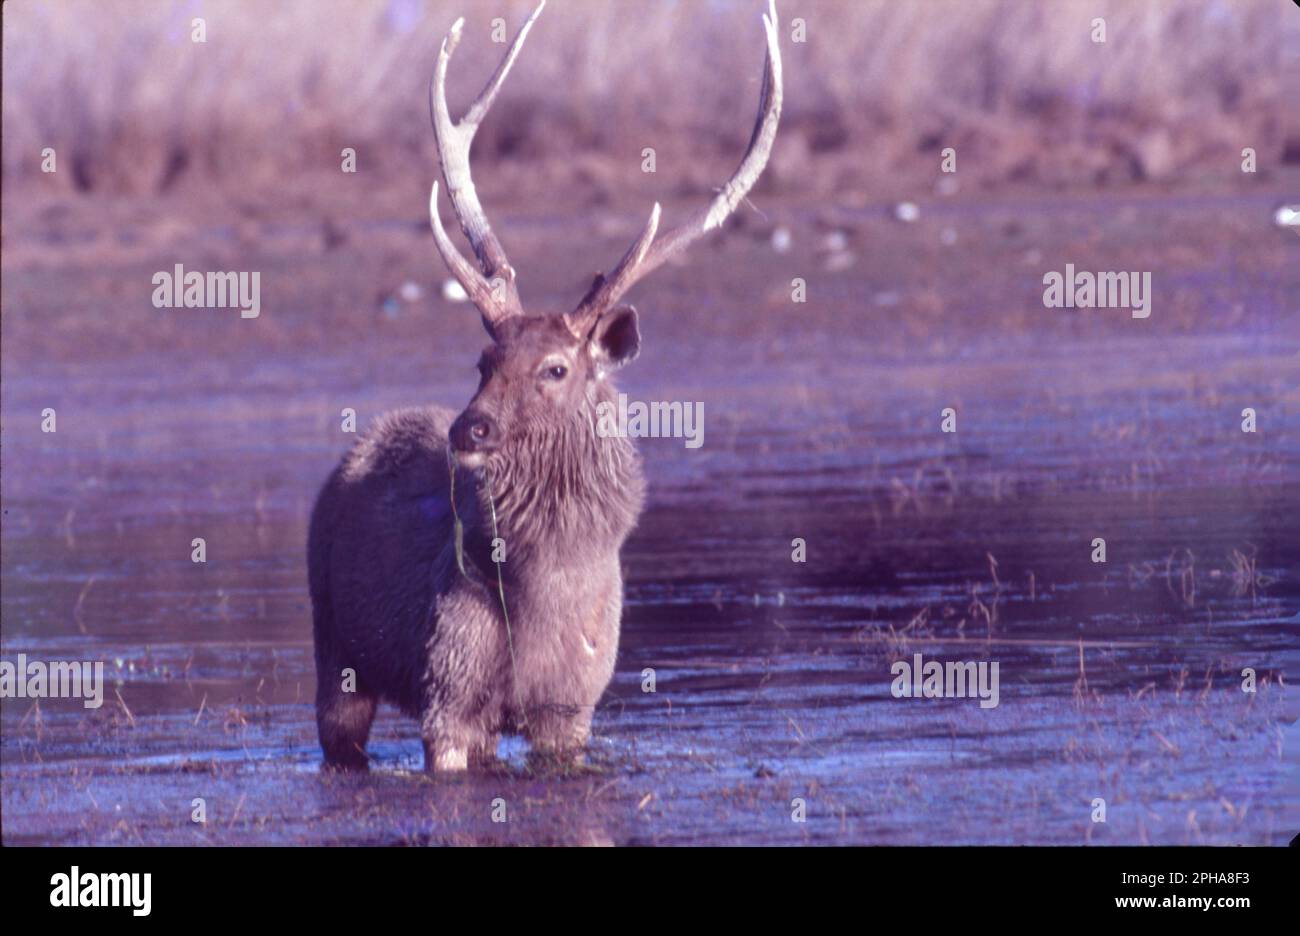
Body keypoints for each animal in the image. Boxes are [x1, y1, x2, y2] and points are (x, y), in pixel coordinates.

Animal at [306, 0, 780, 774]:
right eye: (484, 359)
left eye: (555, 367)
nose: (468, 428)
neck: (544, 595)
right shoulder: (449, 690)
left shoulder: (571, 709)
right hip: (333, 646)